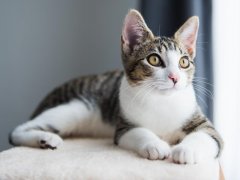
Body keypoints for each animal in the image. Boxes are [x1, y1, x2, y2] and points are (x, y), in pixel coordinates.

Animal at [9, 9, 223, 165]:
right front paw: (155, 145)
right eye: (154, 60)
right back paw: (46, 138)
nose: (175, 77)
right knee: (16, 131)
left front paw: (186, 150)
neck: (161, 100)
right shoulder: (123, 127)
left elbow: (207, 135)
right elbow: (139, 132)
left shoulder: (204, 124)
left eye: (184, 62)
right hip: (76, 108)